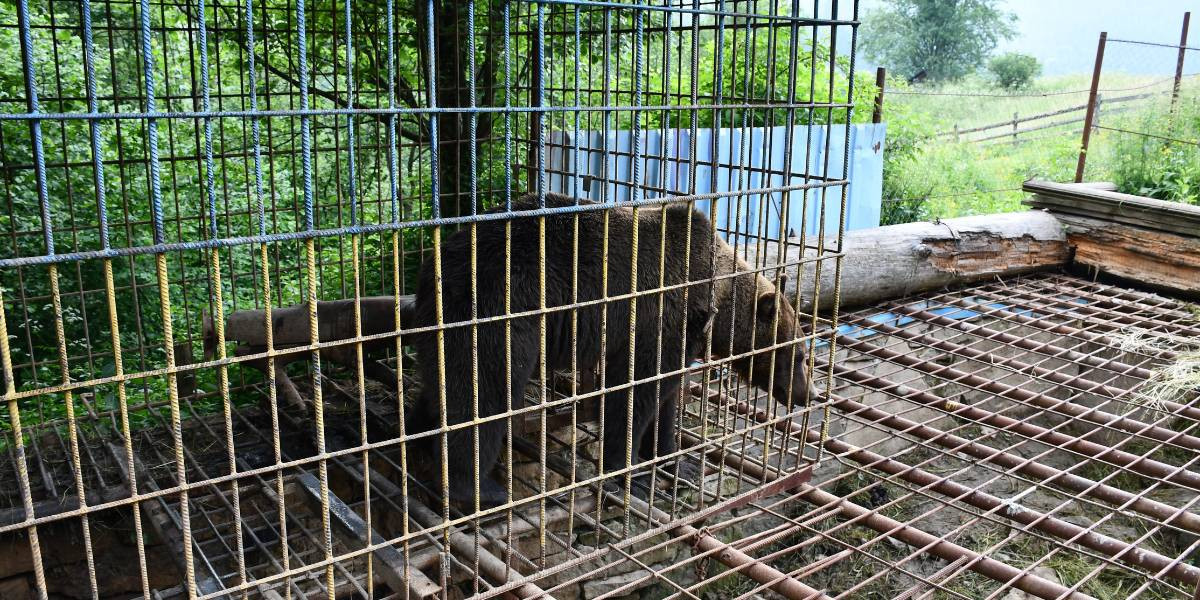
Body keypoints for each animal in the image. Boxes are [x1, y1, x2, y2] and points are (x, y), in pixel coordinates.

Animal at [412, 192, 816, 506]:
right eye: (799, 354)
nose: (808, 394)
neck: (713, 297)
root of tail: (435, 262)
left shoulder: (681, 337)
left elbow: (667, 398)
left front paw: (677, 460)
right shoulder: (659, 316)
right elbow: (635, 393)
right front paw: (630, 473)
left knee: (444, 388)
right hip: (497, 307)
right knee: (485, 392)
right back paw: (481, 490)